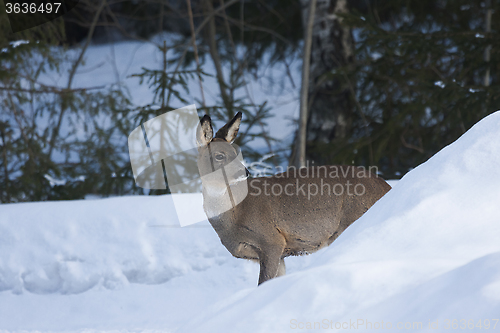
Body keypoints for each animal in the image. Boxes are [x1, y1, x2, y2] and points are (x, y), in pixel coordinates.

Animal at [197, 111, 392, 282]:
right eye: (219, 155)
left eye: (236, 154)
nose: (244, 172)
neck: (234, 216)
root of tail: (387, 187)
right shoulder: (279, 254)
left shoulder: (272, 241)